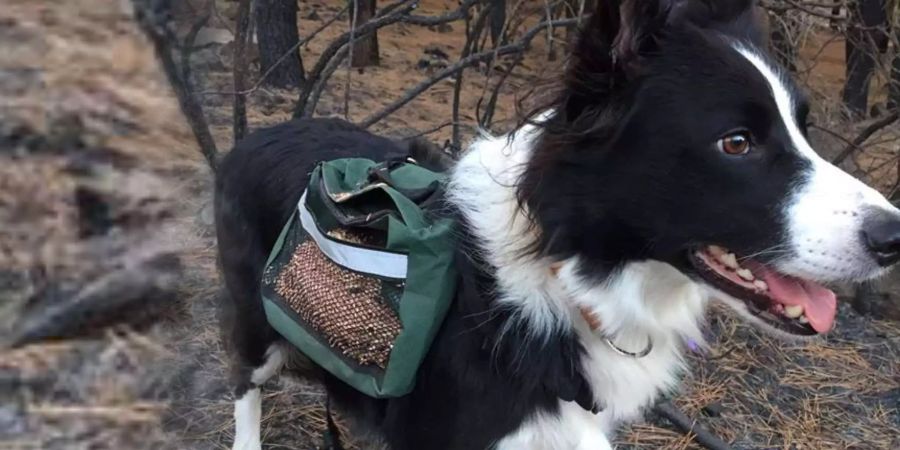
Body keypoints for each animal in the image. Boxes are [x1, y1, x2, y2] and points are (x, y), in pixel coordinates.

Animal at [216, 0, 900, 450]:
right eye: (737, 143)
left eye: (803, 130)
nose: (894, 237)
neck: (566, 283)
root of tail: (254, 136)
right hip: (254, 324)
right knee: (244, 387)